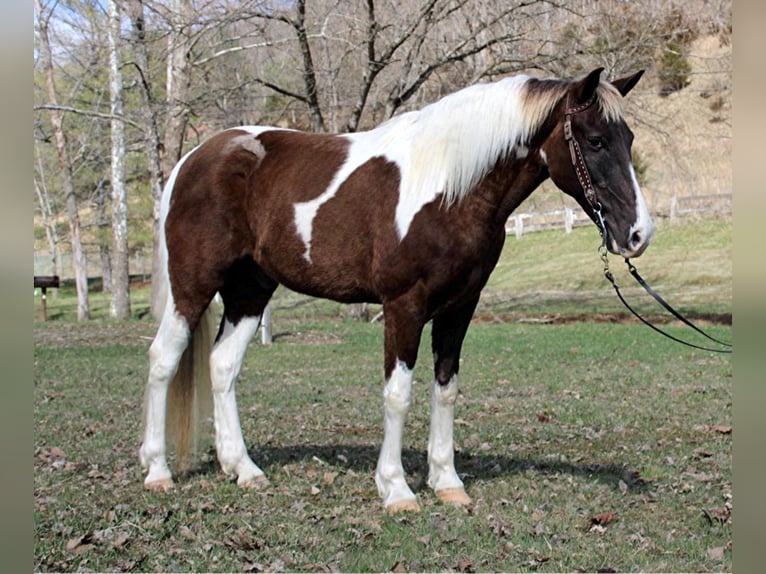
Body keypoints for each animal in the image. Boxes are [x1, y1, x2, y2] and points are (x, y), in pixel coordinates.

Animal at [140, 66, 656, 512]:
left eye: (629, 139)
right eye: (595, 141)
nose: (638, 234)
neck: (449, 189)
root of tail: (193, 159)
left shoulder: (458, 309)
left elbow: (445, 390)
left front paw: (447, 482)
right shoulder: (403, 307)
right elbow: (398, 394)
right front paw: (396, 489)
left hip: (250, 290)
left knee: (223, 365)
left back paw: (243, 469)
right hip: (193, 286)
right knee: (164, 359)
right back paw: (158, 471)